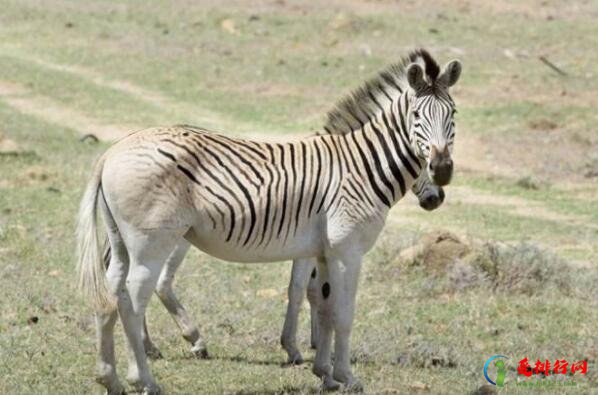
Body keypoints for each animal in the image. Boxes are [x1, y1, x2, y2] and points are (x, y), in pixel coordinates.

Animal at [131, 166, 448, 364]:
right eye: (423, 163)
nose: (437, 198)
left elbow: (317, 291)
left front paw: (317, 341)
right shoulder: (309, 248)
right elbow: (301, 290)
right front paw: (297, 347)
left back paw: (150, 346)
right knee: (157, 282)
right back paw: (189, 340)